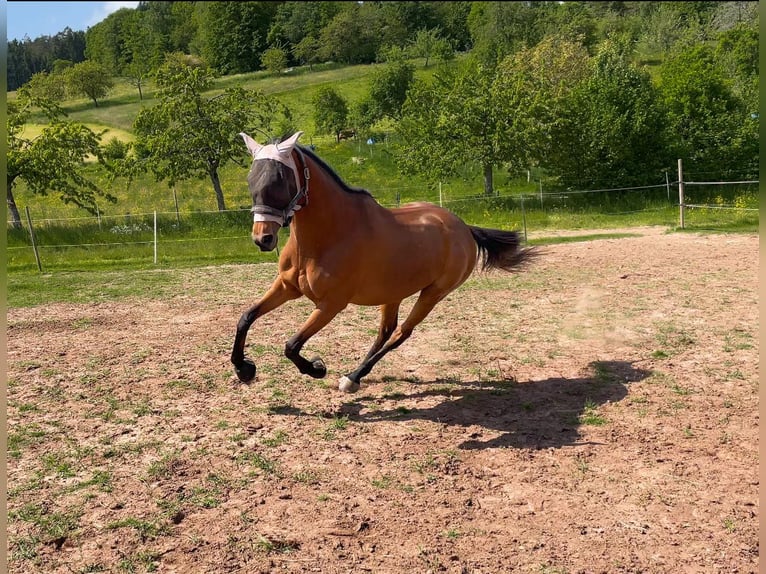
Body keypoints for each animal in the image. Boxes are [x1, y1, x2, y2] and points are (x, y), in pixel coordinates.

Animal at [231, 132, 536, 394]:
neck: (330, 236)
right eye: (251, 179)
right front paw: (244, 369)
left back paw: (353, 377)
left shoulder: (330, 305)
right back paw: (353, 377)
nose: (263, 238)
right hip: (394, 292)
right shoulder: (287, 287)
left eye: (280, 179)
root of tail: (464, 229)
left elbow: (291, 345)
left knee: (400, 334)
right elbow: (246, 317)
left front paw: (317, 368)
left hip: (434, 293)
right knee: (385, 331)